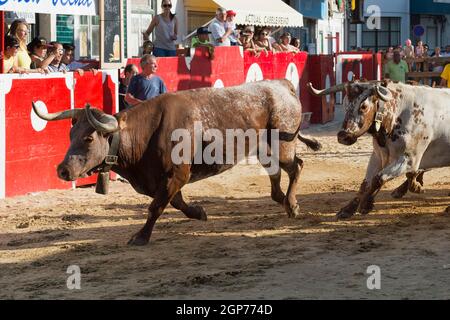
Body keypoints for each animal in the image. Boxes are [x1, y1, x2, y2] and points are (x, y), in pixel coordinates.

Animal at [32, 80, 320, 245]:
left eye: (89, 138)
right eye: (70, 134)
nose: (63, 170)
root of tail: (281, 85)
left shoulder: (176, 175)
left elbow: (156, 207)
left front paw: (141, 237)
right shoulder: (163, 181)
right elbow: (177, 203)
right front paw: (199, 212)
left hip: (282, 144)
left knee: (296, 166)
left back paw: (292, 205)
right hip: (263, 148)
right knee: (277, 173)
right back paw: (284, 200)